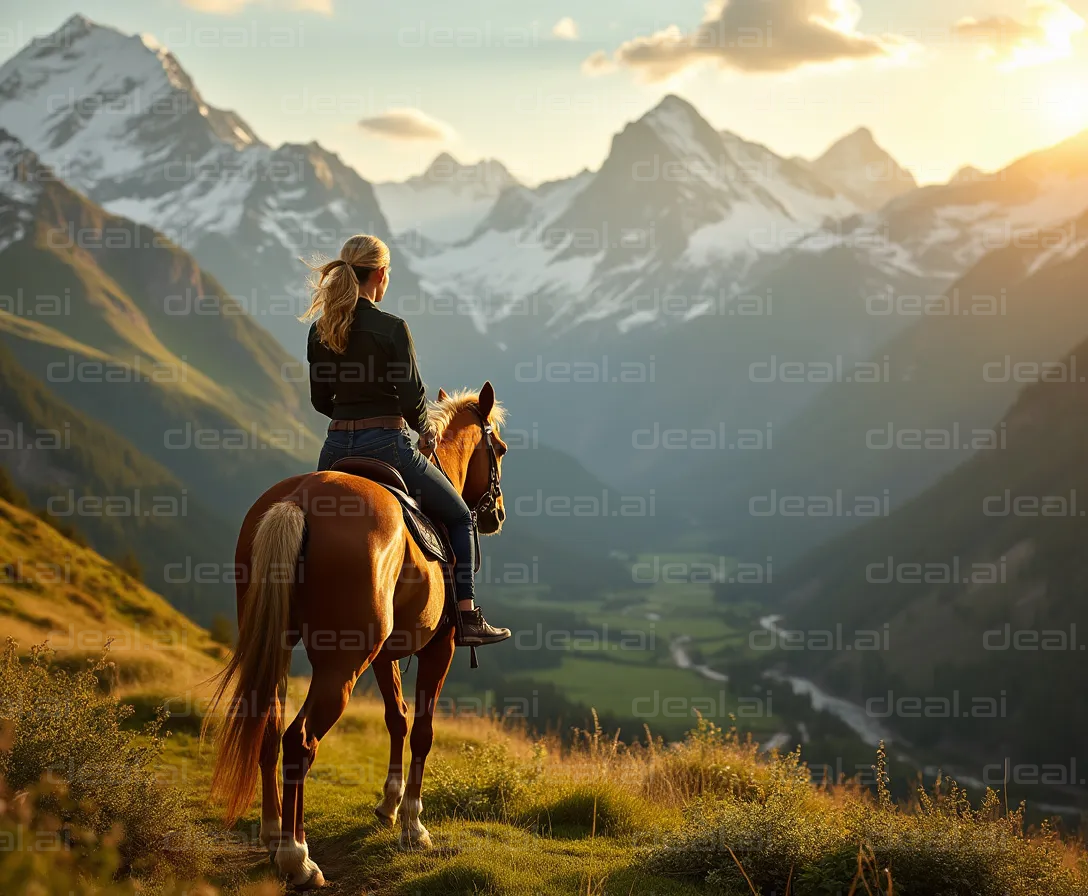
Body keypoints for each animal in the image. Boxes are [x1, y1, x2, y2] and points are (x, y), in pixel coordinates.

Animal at [204, 380, 509, 887]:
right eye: (499, 449)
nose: (496, 516)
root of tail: (298, 499)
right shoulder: (440, 648)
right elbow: (422, 730)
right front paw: (413, 826)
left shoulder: (386, 655)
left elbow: (396, 719)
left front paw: (387, 805)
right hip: (342, 664)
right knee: (299, 741)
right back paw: (298, 857)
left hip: (278, 647)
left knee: (268, 729)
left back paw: (271, 833)